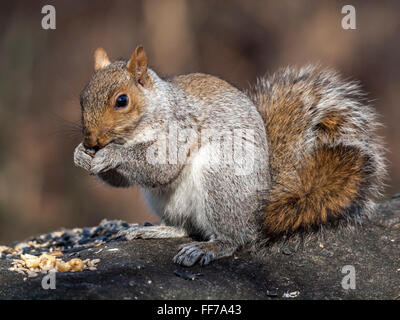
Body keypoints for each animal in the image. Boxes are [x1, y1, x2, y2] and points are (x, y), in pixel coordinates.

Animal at [73, 44, 386, 264]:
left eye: (122, 101)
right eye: (82, 99)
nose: (91, 140)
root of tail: (259, 210)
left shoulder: (179, 128)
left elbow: (161, 166)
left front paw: (111, 154)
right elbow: (123, 181)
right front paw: (81, 155)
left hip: (221, 180)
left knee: (234, 237)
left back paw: (209, 247)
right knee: (187, 228)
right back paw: (158, 231)